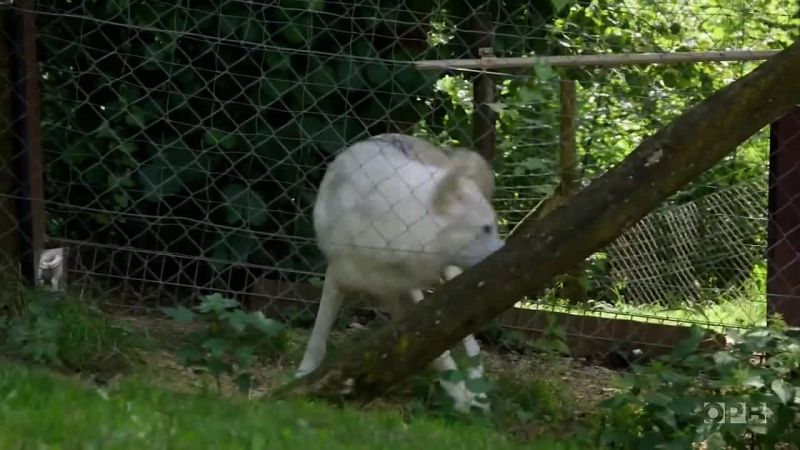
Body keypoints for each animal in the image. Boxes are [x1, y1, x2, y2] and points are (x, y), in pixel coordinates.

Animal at [295, 133, 505, 412]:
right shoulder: (342, 277)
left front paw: (462, 397)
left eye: (493, 226)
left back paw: (478, 387)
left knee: (470, 336)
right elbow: (318, 333)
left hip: (449, 274)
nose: (507, 251)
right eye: (486, 228)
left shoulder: (405, 289)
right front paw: (303, 374)